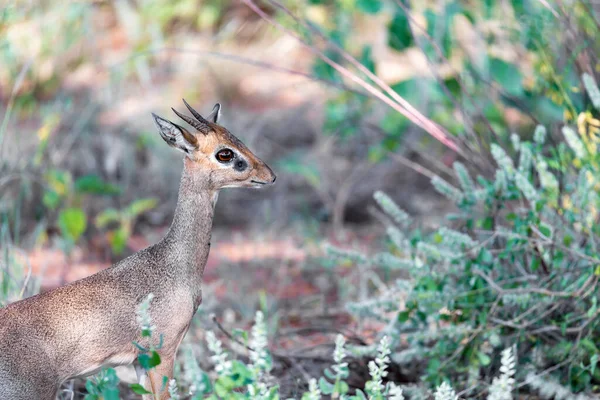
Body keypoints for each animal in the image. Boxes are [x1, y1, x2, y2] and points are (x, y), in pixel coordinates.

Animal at [0, 100, 276, 400]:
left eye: (237, 138)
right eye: (225, 153)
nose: (269, 175)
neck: (173, 264)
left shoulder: (139, 361)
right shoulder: (163, 353)